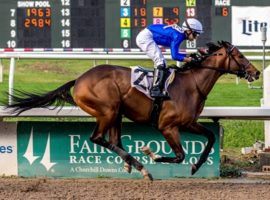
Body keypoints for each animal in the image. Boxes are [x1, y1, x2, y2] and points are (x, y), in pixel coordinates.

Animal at [3, 40, 260, 180]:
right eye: (239, 55)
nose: (256, 72)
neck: (191, 84)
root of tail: (79, 79)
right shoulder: (167, 126)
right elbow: (179, 155)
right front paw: (152, 153)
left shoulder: (188, 123)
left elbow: (210, 137)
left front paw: (197, 166)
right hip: (107, 110)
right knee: (97, 138)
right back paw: (141, 166)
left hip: (116, 113)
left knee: (114, 140)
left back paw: (131, 163)